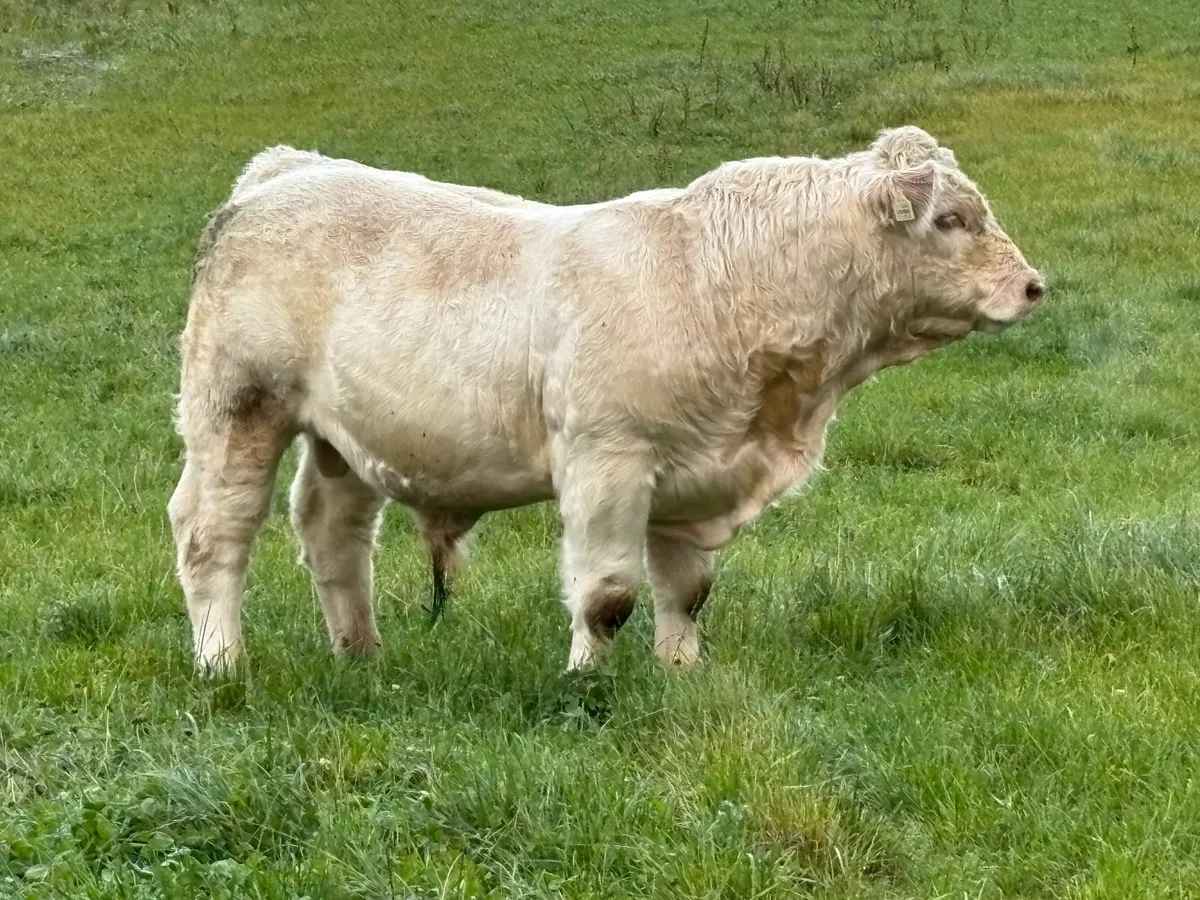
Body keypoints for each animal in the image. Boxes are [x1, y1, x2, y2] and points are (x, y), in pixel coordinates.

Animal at [167, 126, 1044, 676]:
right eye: (951, 218)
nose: (1034, 285)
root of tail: (285, 169)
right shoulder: (607, 459)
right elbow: (607, 597)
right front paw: (586, 682)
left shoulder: (692, 472)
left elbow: (686, 592)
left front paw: (681, 674)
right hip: (236, 406)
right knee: (213, 535)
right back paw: (223, 665)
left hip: (344, 436)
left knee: (333, 533)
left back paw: (361, 654)